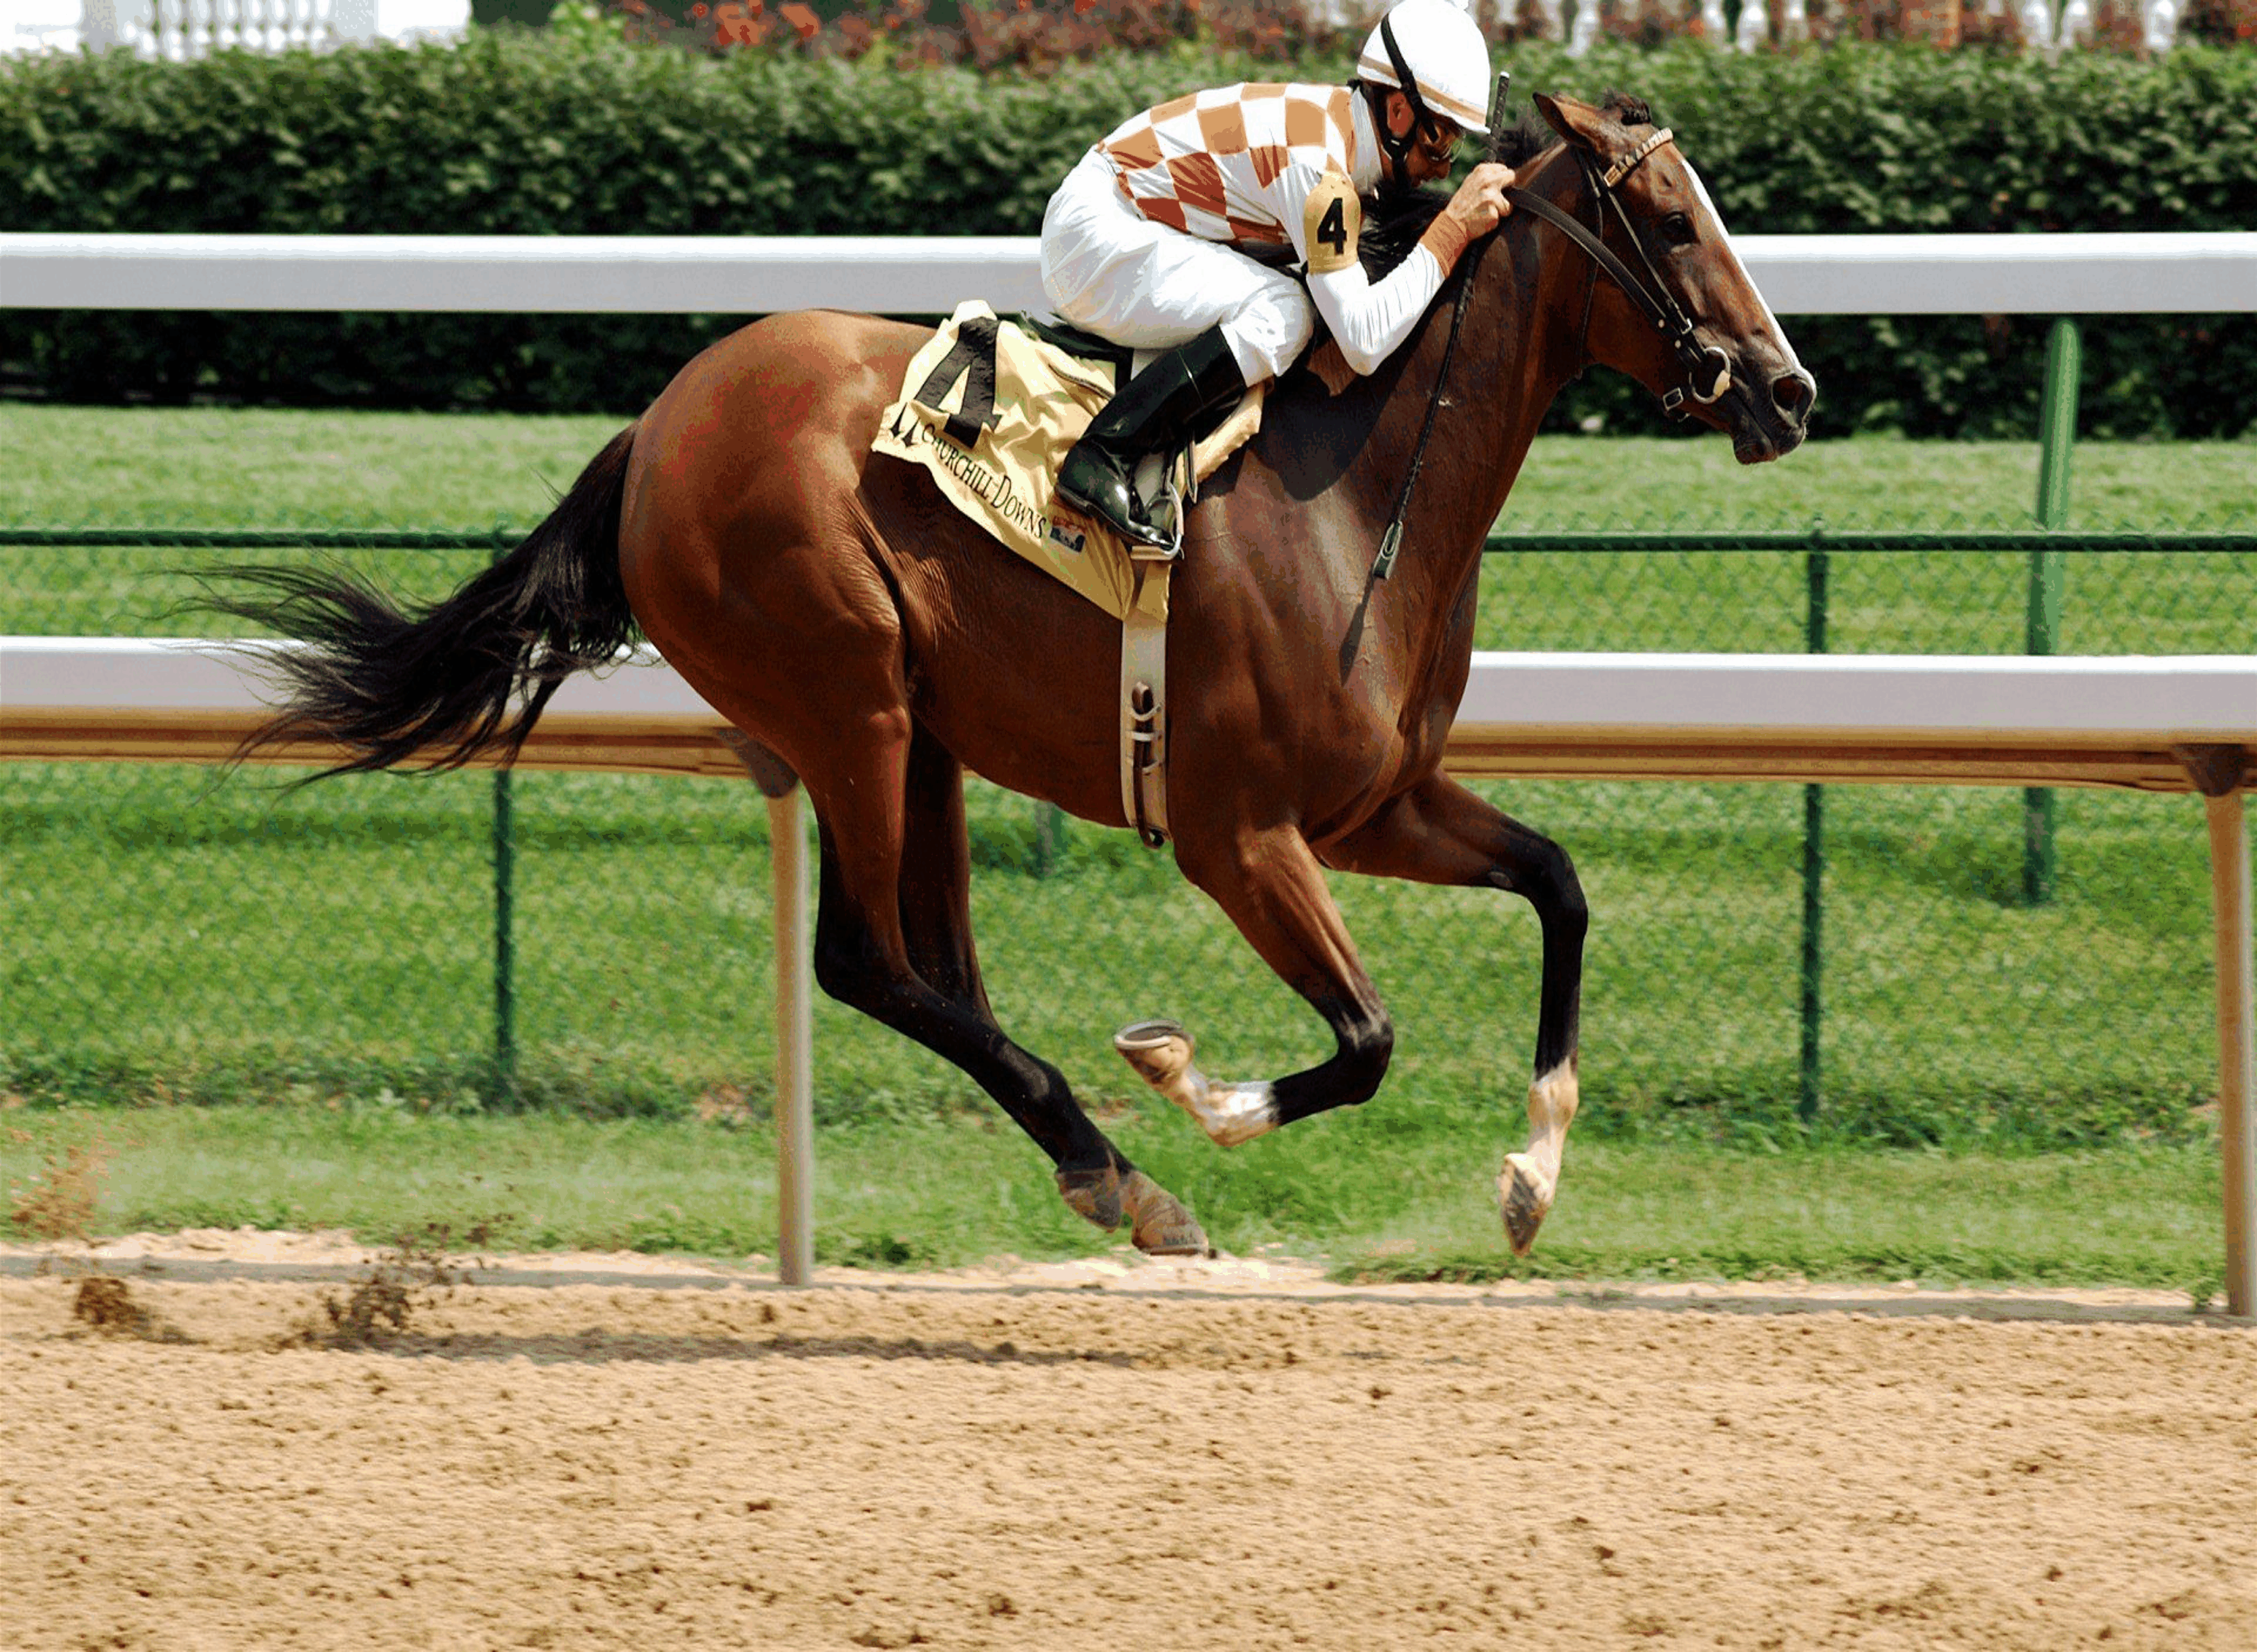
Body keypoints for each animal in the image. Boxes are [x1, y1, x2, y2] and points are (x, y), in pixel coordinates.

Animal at [220, 87, 1814, 1255]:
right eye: (1673, 219)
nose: (1789, 391)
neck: (1361, 490)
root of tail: (658, 424)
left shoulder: (1375, 805)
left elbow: (1559, 885)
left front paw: (1532, 1175)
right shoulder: (1240, 833)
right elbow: (1365, 1038)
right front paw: (1187, 1081)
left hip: (922, 733)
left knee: (938, 970)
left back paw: (1101, 1167)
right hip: (845, 696)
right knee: (867, 959)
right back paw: (1128, 1172)